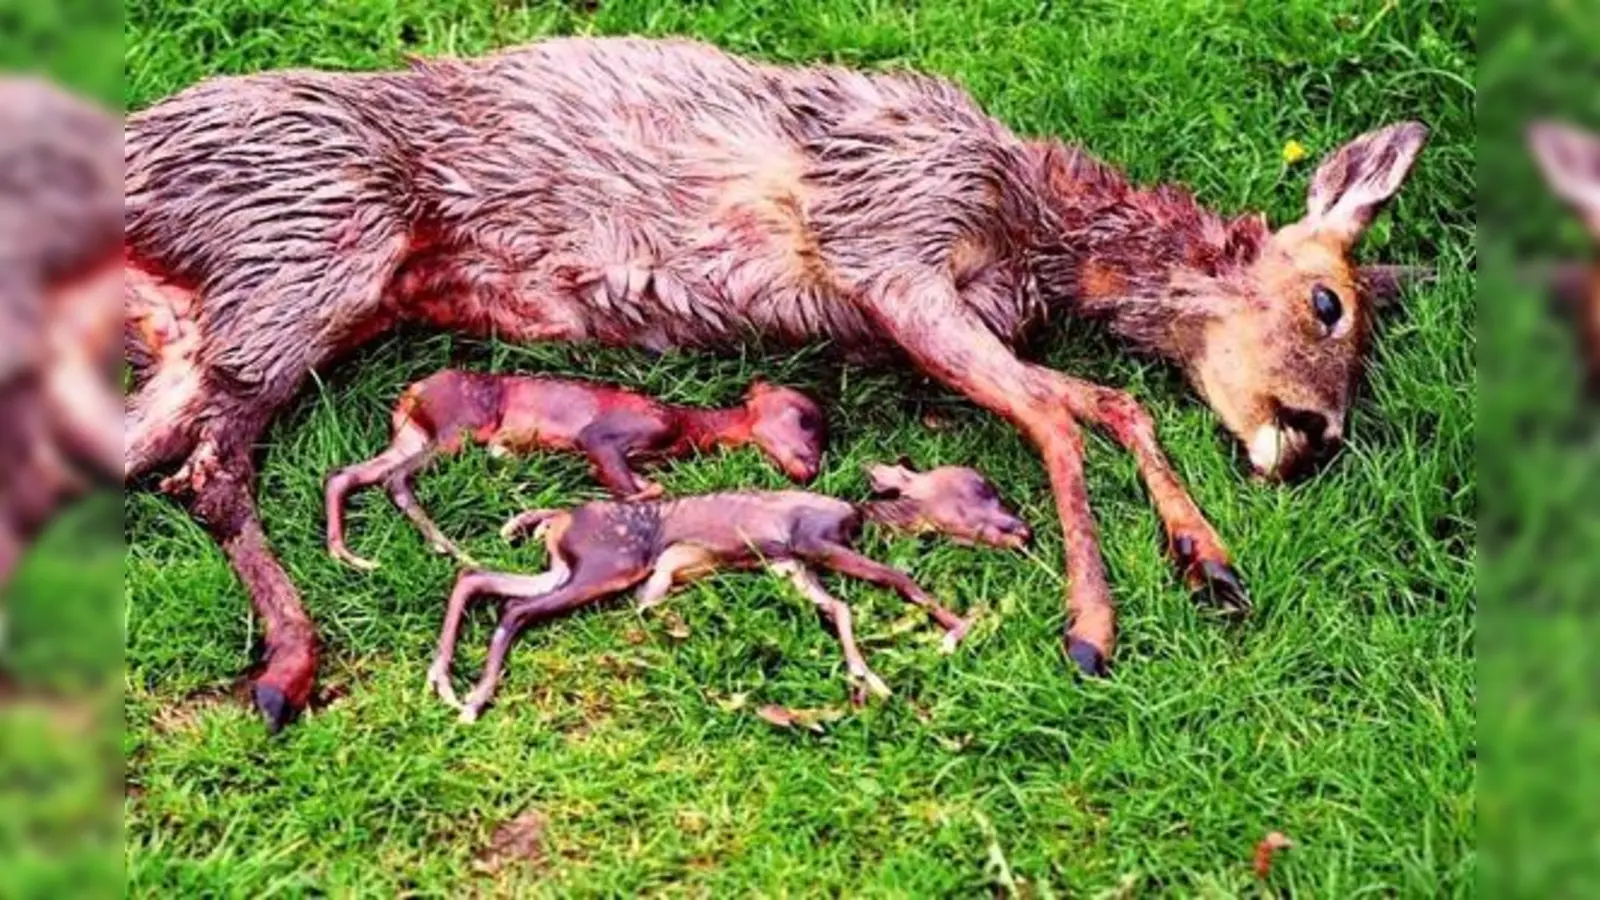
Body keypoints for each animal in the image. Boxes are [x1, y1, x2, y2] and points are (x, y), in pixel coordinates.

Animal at [325, 372, 827, 570]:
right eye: (804, 417)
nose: (811, 467)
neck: (688, 427)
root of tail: (412, 391)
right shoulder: (604, 436)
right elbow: (643, 489)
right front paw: (526, 521)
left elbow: (649, 488)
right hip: (457, 428)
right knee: (397, 480)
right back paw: (451, 547)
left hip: (411, 434)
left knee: (345, 475)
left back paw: (348, 553)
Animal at [432, 461, 1031, 722]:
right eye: (980, 487)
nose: (1023, 529)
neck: (859, 517)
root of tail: (558, 522)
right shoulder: (812, 538)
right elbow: (895, 579)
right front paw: (956, 631)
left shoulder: (789, 562)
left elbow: (837, 606)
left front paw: (866, 677)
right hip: (608, 563)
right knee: (514, 608)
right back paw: (473, 699)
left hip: (569, 566)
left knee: (477, 579)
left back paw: (443, 679)